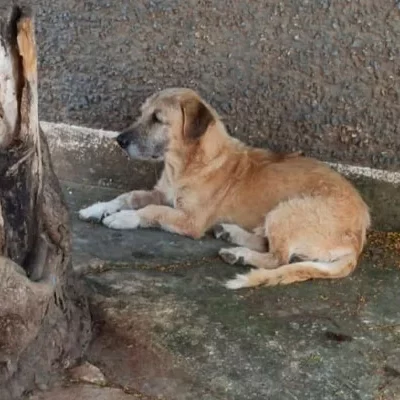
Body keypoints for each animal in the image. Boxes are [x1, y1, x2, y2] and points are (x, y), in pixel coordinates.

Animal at [79, 87, 372, 290]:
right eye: (141, 114)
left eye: (157, 119)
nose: (119, 140)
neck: (187, 165)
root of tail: (357, 240)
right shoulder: (163, 193)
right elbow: (129, 195)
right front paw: (97, 208)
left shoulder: (191, 221)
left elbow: (152, 210)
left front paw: (124, 218)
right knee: (268, 244)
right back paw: (231, 235)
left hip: (288, 210)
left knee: (278, 258)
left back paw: (240, 254)